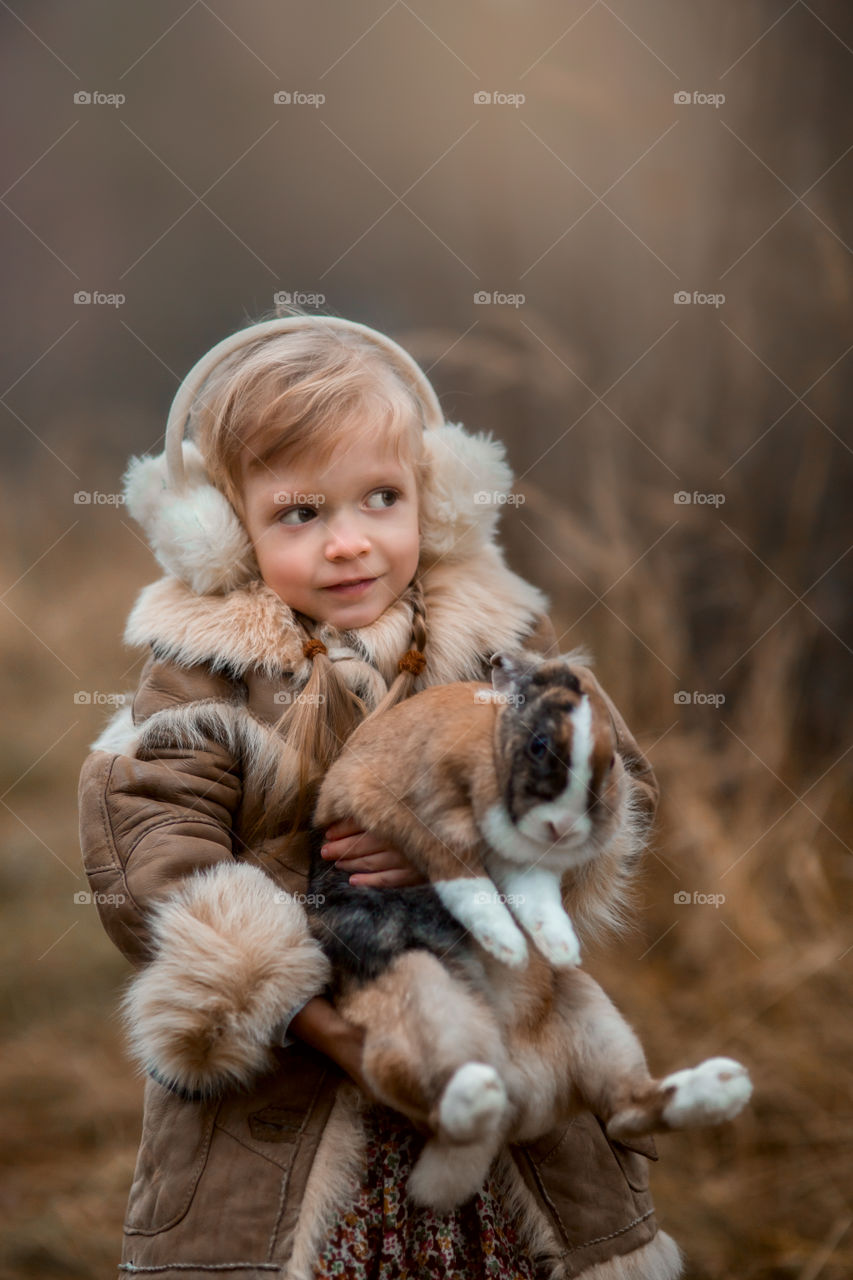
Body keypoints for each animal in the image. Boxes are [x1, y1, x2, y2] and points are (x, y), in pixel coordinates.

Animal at [308, 650, 747, 1208]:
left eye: (610, 760)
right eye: (540, 746)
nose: (565, 827)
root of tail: (521, 1084)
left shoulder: (525, 863)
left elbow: (535, 895)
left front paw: (554, 944)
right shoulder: (421, 822)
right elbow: (465, 880)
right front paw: (507, 944)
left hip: (596, 1020)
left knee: (627, 1109)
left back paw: (722, 1086)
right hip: (420, 1001)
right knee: (436, 1105)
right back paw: (477, 1091)